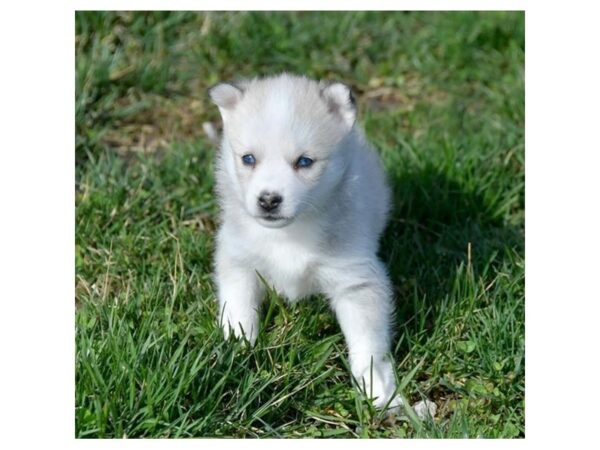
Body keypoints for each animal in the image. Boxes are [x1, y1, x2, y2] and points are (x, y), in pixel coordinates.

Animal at [209, 73, 400, 412]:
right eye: (248, 159)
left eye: (304, 161)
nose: (268, 200)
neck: (289, 234)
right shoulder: (238, 258)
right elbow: (238, 307)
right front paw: (237, 346)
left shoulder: (355, 278)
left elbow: (368, 342)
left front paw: (376, 386)